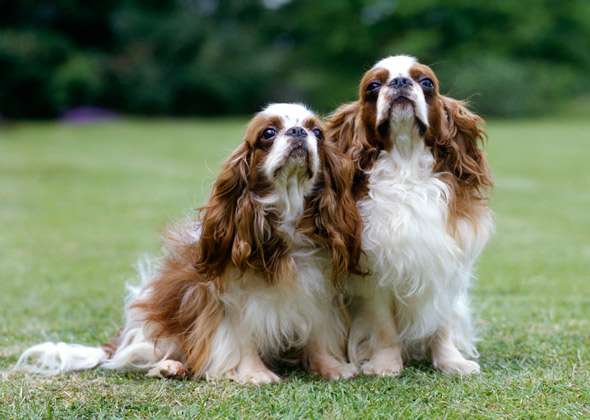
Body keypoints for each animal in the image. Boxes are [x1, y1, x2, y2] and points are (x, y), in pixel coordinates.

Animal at [16, 104, 364, 384]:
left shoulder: (317, 296)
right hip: (153, 316)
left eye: (317, 132)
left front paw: (333, 368)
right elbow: (242, 340)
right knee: (143, 353)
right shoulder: (227, 302)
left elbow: (320, 336)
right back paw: (170, 366)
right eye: (268, 133)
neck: (287, 224)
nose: (298, 132)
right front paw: (255, 374)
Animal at [328, 56, 494, 378]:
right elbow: (383, 326)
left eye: (426, 82)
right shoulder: (373, 274)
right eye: (373, 86)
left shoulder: (442, 264)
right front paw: (386, 365)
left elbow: (440, 322)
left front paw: (450, 361)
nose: (400, 82)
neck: (405, 167)